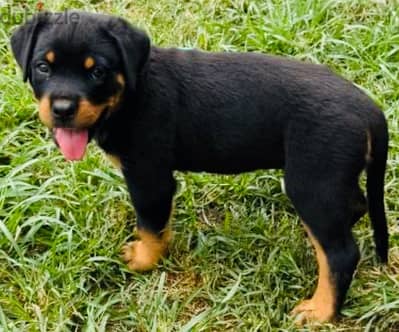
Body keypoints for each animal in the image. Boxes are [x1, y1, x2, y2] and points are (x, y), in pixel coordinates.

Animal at [10, 10, 390, 324]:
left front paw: (145, 260)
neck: (133, 91)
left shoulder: (148, 175)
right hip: (330, 180)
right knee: (352, 208)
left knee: (341, 254)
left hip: (312, 181)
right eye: (43, 67)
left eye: (98, 72)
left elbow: (151, 223)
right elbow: (158, 223)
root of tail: (369, 108)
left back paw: (321, 311)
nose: (62, 109)